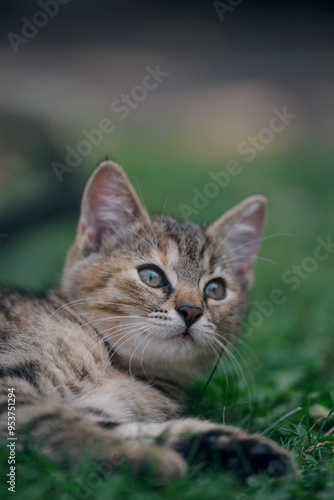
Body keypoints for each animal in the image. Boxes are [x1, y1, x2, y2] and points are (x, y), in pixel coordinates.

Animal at [0, 162, 292, 478]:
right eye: (151, 276)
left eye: (215, 290)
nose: (191, 311)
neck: (118, 367)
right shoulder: (10, 387)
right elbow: (54, 421)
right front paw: (144, 459)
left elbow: (133, 428)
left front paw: (241, 449)